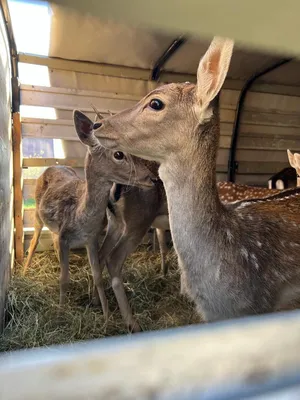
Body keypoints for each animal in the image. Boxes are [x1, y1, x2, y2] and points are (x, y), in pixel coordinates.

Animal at [23, 109, 156, 316]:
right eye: (119, 154)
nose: (152, 178)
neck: (82, 218)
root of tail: (52, 166)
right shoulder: (65, 238)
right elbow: (64, 279)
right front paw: (61, 311)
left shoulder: (92, 239)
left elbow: (98, 276)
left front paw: (106, 314)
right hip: (37, 214)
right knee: (34, 241)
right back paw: (24, 270)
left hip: (55, 228)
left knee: (52, 240)